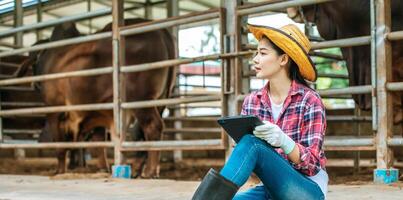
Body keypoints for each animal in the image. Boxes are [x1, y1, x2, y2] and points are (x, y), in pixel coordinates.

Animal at [17, 18, 176, 178]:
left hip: (140, 100)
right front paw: (102, 168)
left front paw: (60, 171)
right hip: (161, 100)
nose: (34, 84)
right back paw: (139, 168)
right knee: (142, 133)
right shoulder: (98, 107)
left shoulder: (54, 109)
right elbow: (98, 139)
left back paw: (150, 171)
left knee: (152, 127)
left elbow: (60, 144)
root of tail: (161, 31)